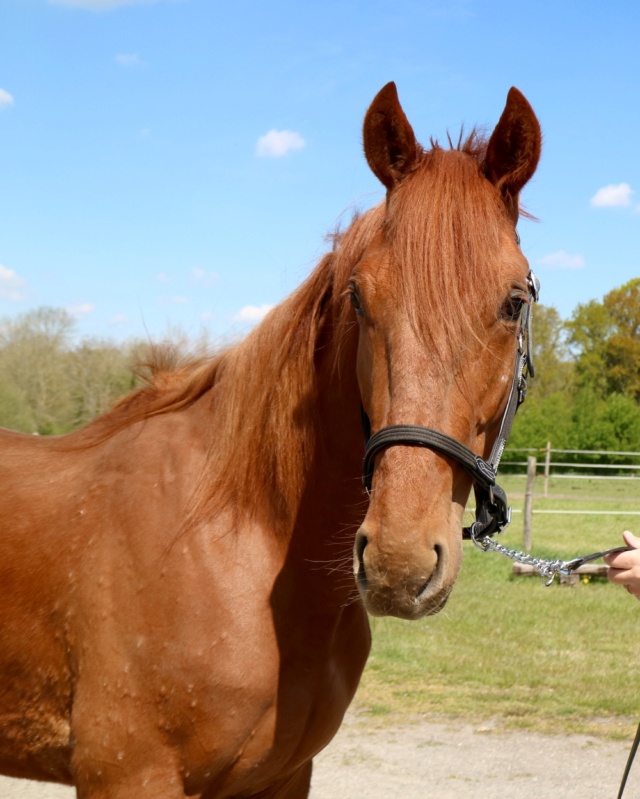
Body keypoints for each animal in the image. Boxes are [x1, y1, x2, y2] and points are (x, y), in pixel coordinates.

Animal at [0, 84, 540, 796]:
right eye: (359, 297)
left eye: (513, 303)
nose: (398, 565)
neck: (236, 543)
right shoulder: (129, 774)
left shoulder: (283, 777)